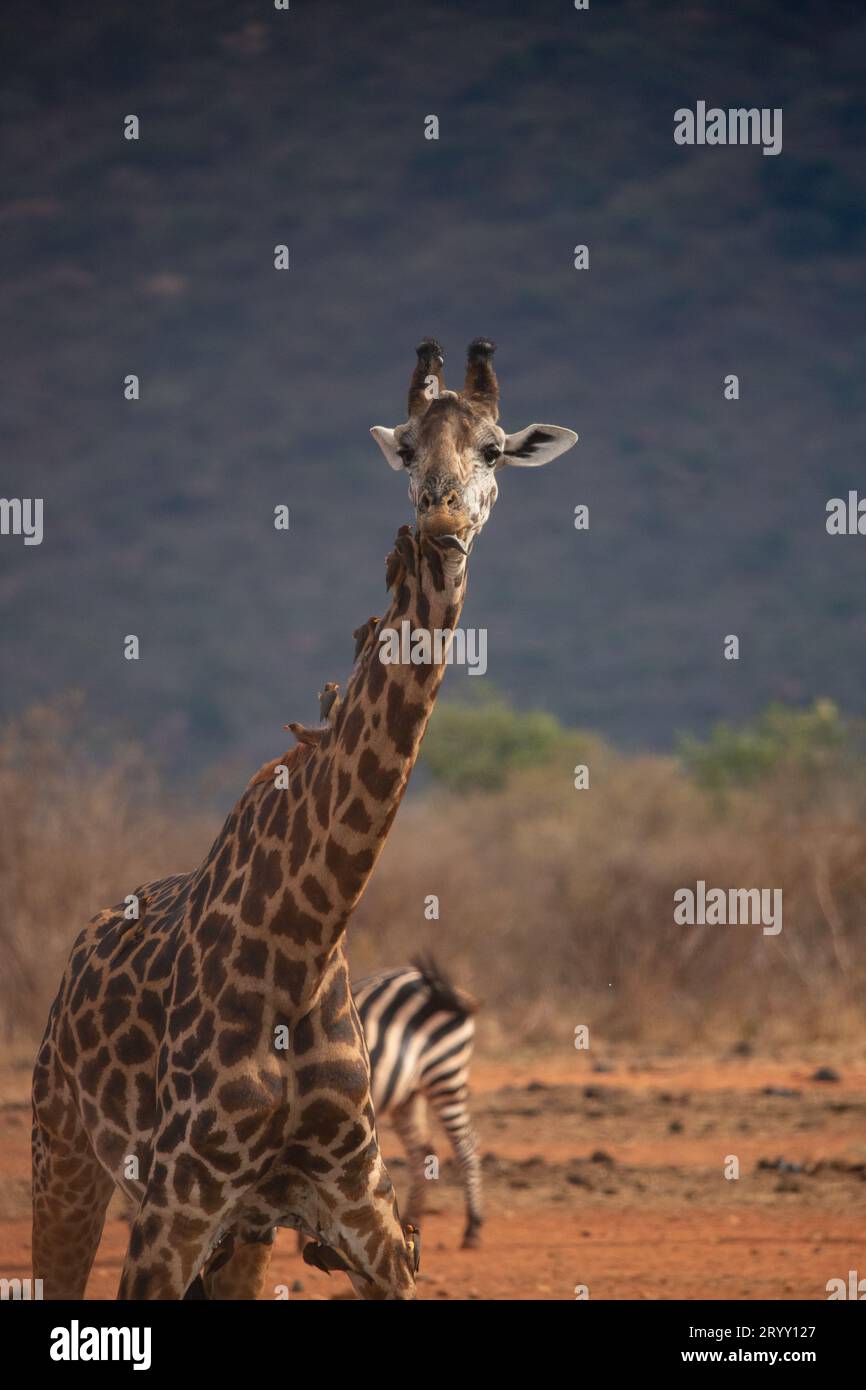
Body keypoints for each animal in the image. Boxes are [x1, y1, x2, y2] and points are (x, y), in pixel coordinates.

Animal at [354, 956, 489, 1251]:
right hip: (408, 1094)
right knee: (422, 1151)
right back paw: (410, 1223)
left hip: (445, 1075)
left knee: (465, 1145)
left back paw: (472, 1228)